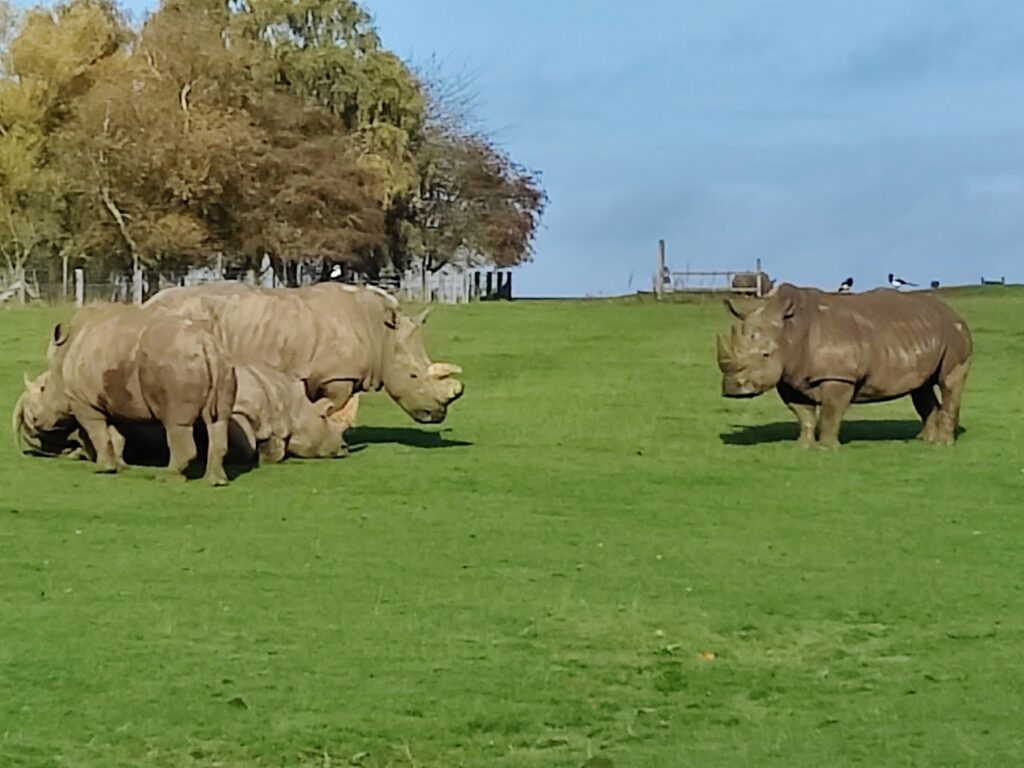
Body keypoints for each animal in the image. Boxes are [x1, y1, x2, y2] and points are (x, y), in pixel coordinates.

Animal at [13, 303, 236, 484]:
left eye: (43, 389)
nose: (34, 425)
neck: (60, 365)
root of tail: (206, 344)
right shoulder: (112, 401)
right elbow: (116, 435)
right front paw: (120, 466)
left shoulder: (84, 403)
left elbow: (98, 433)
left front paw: (103, 469)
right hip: (223, 363)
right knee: (218, 421)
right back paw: (215, 481)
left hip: (176, 364)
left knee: (176, 423)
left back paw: (167, 477)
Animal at [143, 282, 464, 424]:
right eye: (413, 376)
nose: (437, 416)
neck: (382, 334)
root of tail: (148, 303)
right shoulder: (337, 376)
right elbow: (334, 406)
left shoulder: (342, 374)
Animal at [716, 283, 972, 448]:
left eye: (766, 354)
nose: (734, 389)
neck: (790, 331)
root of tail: (953, 312)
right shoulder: (790, 376)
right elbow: (803, 413)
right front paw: (803, 445)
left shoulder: (839, 375)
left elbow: (831, 412)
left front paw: (827, 447)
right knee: (921, 387)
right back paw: (923, 440)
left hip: (955, 333)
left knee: (949, 383)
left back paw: (942, 444)